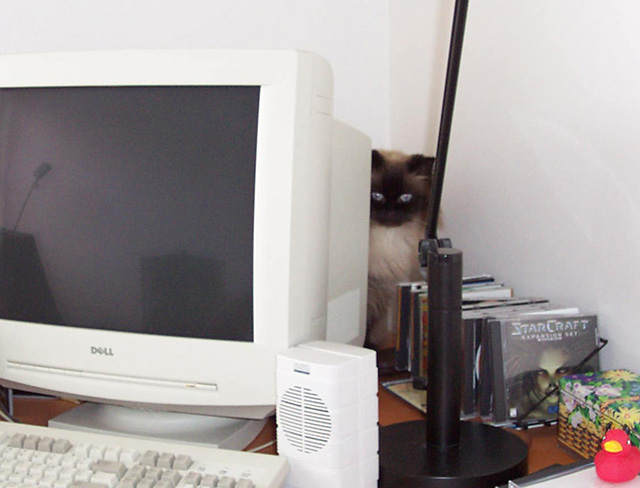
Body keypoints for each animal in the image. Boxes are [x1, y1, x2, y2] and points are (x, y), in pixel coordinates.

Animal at [364, 149, 436, 350]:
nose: (390, 212)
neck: (387, 240)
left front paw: (370, 348)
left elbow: (369, 324)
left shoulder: (381, 287)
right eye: (377, 195)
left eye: (405, 197)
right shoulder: (371, 286)